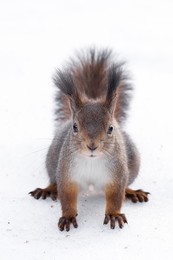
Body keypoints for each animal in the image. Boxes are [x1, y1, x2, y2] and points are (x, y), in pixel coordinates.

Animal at [29, 47, 149, 231]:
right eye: (74, 127)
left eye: (110, 128)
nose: (92, 146)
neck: (92, 160)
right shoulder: (67, 173)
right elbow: (67, 195)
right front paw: (68, 216)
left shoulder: (117, 173)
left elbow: (116, 195)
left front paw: (113, 214)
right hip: (52, 159)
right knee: (54, 179)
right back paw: (48, 189)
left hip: (133, 162)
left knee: (127, 185)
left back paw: (132, 192)